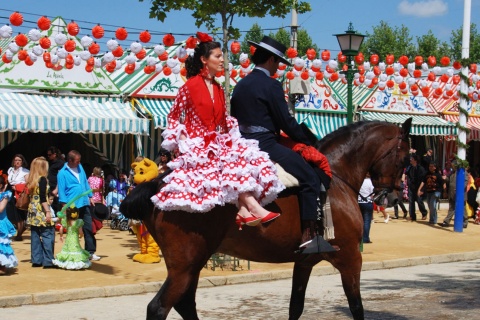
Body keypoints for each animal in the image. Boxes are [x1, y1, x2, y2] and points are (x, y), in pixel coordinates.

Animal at [121, 118, 412, 320]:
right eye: (405, 159)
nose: (393, 197)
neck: (336, 176)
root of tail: (158, 184)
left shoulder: (304, 261)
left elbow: (296, 307)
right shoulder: (350, 258)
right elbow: (357, 307)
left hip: (193, 264)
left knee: (184, 304)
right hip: (186, 266)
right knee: (159, 307)